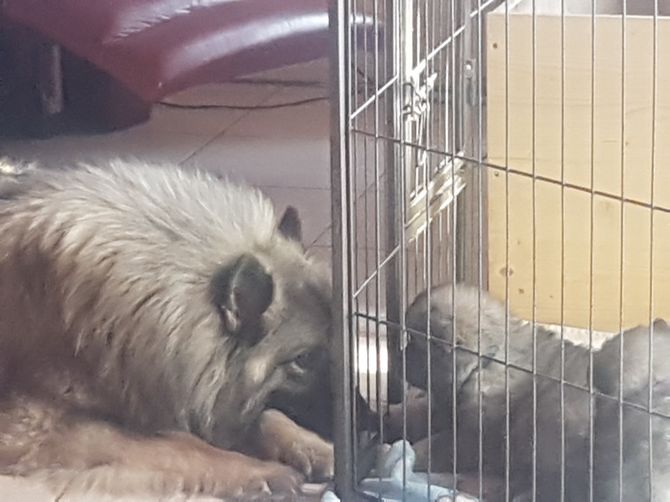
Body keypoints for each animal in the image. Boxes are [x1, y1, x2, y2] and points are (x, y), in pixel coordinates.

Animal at [0, 159, 335, 499]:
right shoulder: (42, 429)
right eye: (304, 359)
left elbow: (265, 416)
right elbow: (177, 444)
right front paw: (262, 471)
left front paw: (314, 448)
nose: (356, 424)